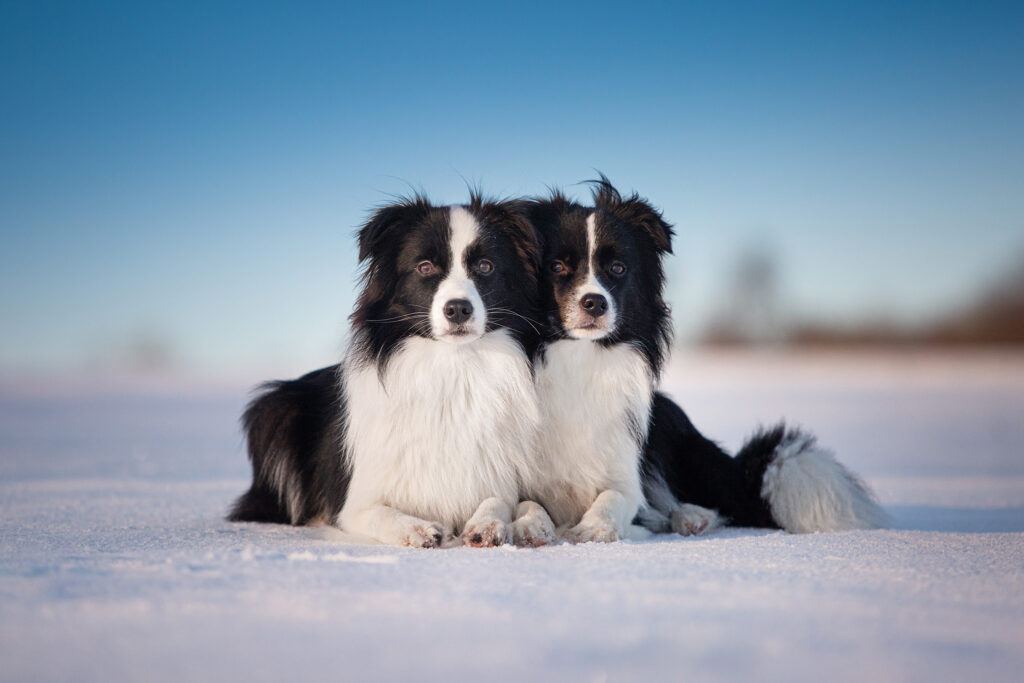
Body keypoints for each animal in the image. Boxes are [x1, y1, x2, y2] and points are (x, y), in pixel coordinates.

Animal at [230, 194, 552, 548]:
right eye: (424, 267)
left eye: (485, 266)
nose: (457, 309)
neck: (453, 366)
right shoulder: (352, 503)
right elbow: (379, 513)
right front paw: (416, 529)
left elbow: (511, 500)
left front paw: (494, 524)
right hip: (274, 406)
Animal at [524, 180, 884, 540]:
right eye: (557, 267)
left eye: (617, 268)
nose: (595, 303)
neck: (578, 358)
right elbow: (528, 502)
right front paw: (531, 525)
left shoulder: (624, 467)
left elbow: (616, 496)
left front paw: (593, 529)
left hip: (672, 424)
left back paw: (693, 517)